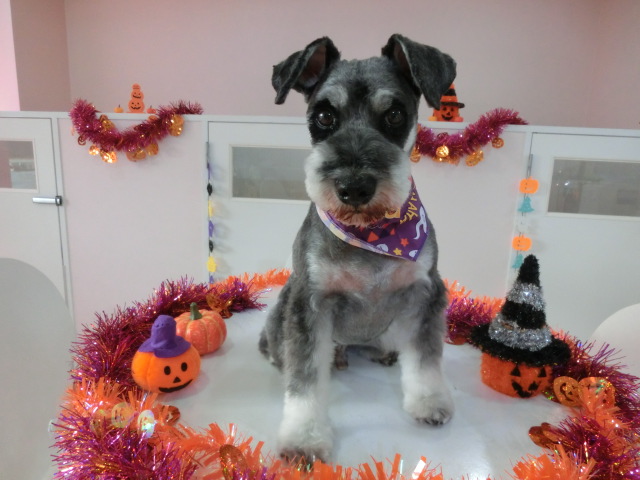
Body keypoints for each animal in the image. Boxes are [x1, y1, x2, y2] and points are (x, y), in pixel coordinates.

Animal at [259, 34, 456, 464]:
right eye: (324, 116)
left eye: (395, 114)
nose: (353, 187)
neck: (371, 232)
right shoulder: (309, 303)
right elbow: (304, 380)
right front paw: (304, 437)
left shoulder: (424, 292)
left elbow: (425, 358)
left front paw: (429, 401)